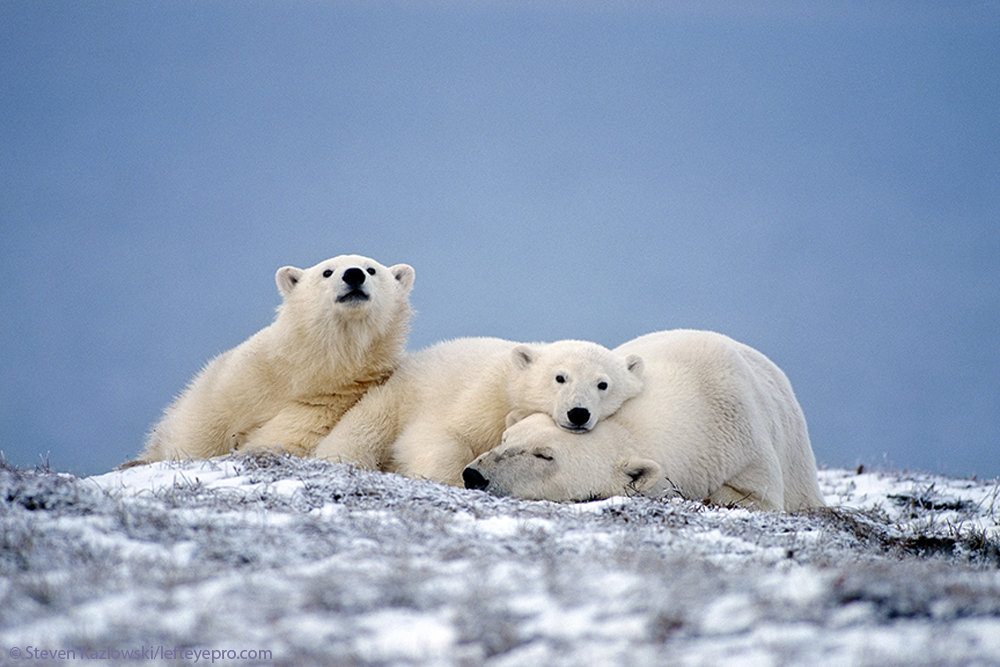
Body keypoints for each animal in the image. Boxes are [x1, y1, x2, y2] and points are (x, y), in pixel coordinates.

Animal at [133, 256, 414, 464]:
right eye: (327, 272)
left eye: (372, 269)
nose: (354, 274)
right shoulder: (242, 374)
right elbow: (205, 421)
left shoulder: (327, 404)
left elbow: (282, 436)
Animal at [312, 340, 644, 486]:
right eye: (560, 377)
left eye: (603, 384)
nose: (578, 413)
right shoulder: (483, 396)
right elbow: (436, 435)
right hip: (396, 397)